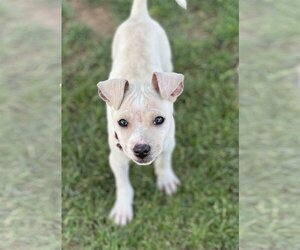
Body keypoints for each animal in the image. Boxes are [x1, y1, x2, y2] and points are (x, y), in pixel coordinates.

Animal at [96, 0, 185, 226]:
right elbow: (123, 185)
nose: (142, 150)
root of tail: (139, 16)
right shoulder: (116, 158)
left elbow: (164, 161)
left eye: (159, 120)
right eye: (122, 123)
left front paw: (166, 180)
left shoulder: (168, 143)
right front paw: (122, 209)